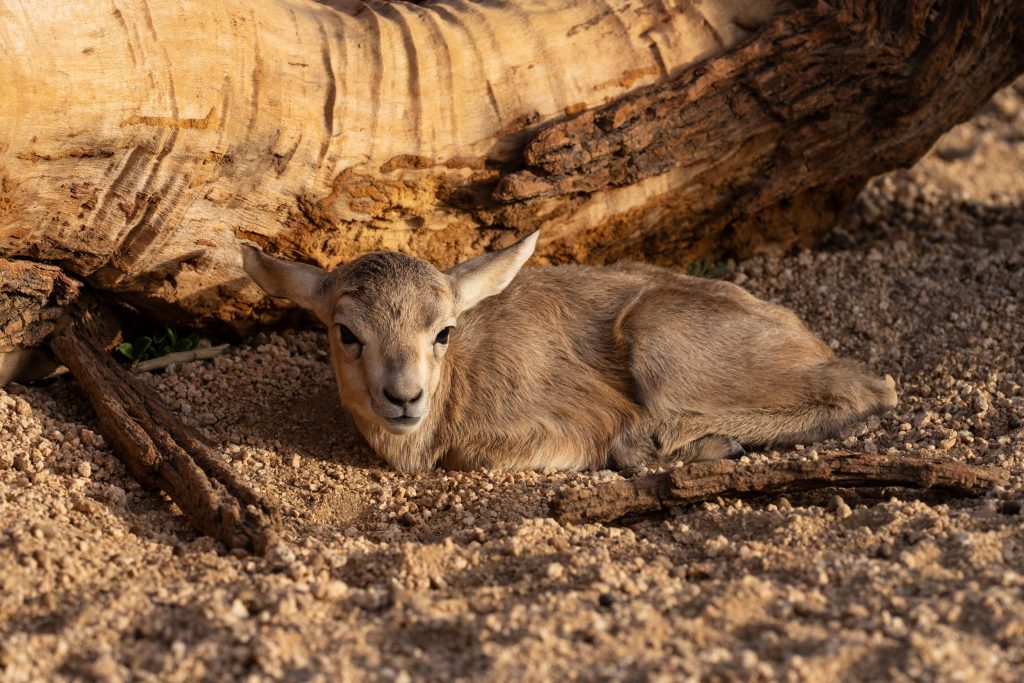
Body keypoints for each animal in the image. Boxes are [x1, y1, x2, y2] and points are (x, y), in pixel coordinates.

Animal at [241, 232, 896, 474]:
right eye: (347, 332)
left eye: (444, 330)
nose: (405, 397)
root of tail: (804, 337)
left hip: (657, 341)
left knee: (871, 388)